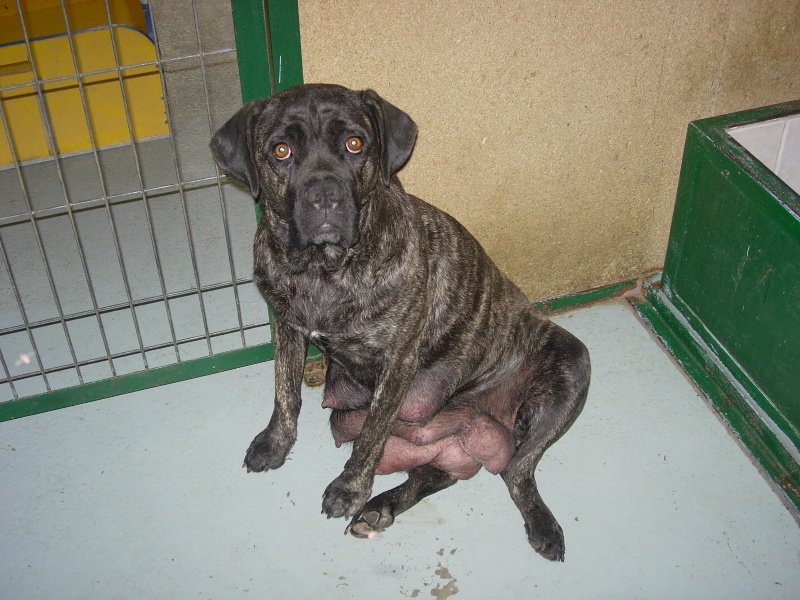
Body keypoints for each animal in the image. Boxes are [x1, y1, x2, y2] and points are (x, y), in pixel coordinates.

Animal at [210, 84, 590, 561]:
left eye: (356, 144)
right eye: (281, 151)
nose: (324, 196)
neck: (323, 269)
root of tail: (488, 420)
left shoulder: (397, 361)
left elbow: (372, 434)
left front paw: (348, 489)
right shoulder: (286, 326)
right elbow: (285, 392)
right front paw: (275, 443)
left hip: (573, 361)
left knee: (518, 471)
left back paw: (542, 524)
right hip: (377, 429)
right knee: (435, 474)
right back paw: (381, 508)